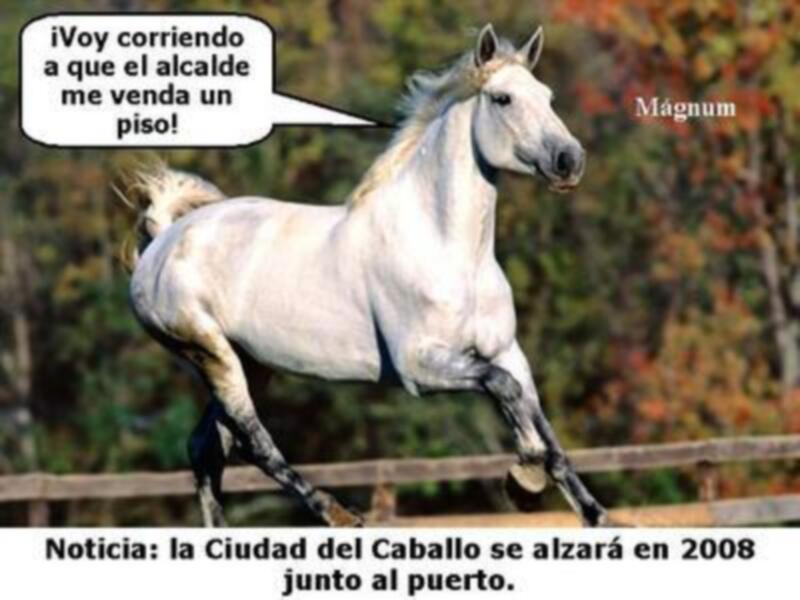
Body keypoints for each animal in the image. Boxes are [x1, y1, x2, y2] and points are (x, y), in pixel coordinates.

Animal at [125, 24, 608, 527]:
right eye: (502, 99)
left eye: (548, 96)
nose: (569, 160)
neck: (448, 249)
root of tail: (163, 240)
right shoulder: (420, 368)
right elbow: (505, 391)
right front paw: (525, 474)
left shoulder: (507, 351)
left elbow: (543, 426)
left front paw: (590, 512)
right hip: (208, 352)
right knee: (252, 442)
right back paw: (337, 513)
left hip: (250, 361)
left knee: (207, 447)